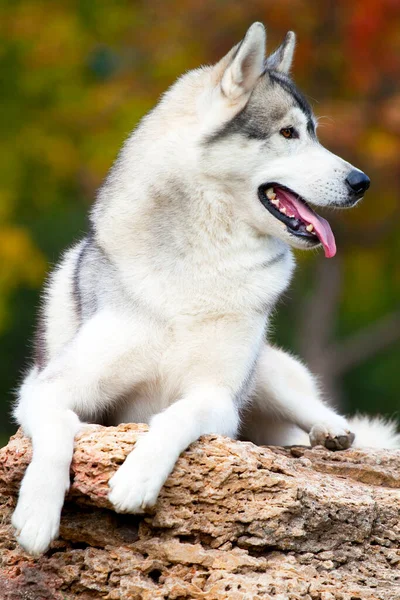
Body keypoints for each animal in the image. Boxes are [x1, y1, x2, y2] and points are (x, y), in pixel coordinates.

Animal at [11, 24, 396, 556]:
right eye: (288, 133)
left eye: (314, 132)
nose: (362, 182)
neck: (202, 266)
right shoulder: (44, 388)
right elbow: (59, 427)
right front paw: (35, 516)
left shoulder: (217, 399)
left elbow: (176, 414)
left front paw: (136, 478)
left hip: (266, 372)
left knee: (310, 408)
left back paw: (334, 431)